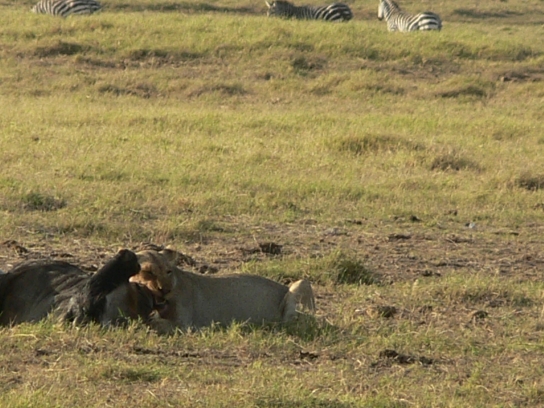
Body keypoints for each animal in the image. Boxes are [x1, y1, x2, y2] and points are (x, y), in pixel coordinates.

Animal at [130, 248, 316, 334]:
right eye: (149, 272)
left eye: (168, 271)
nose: (165, 289)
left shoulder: (184, 324)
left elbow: (155, 322)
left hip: (301, 283)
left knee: (292, 323)